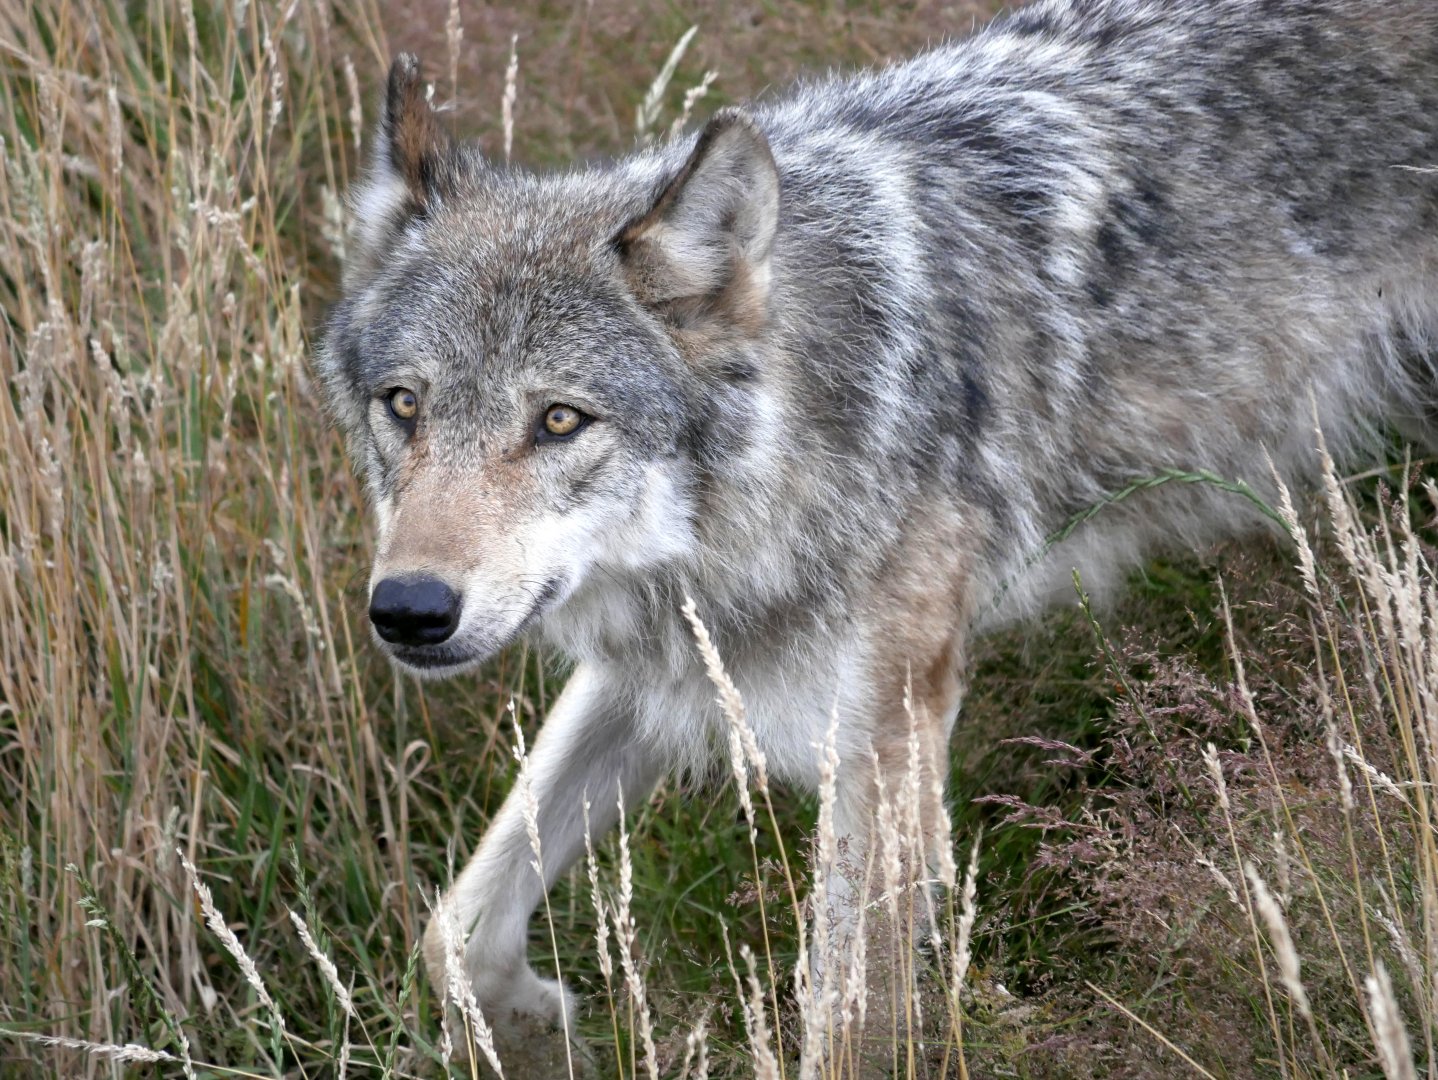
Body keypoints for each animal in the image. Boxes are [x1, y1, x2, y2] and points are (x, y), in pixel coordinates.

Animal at [318, 0, 1438, 1065]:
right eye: (404, 405)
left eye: (559, 420)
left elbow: (847, 1022)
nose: (408, 610)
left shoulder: (887, 736)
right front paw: (541, 1031)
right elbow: (456, 928)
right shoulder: (664, 668)